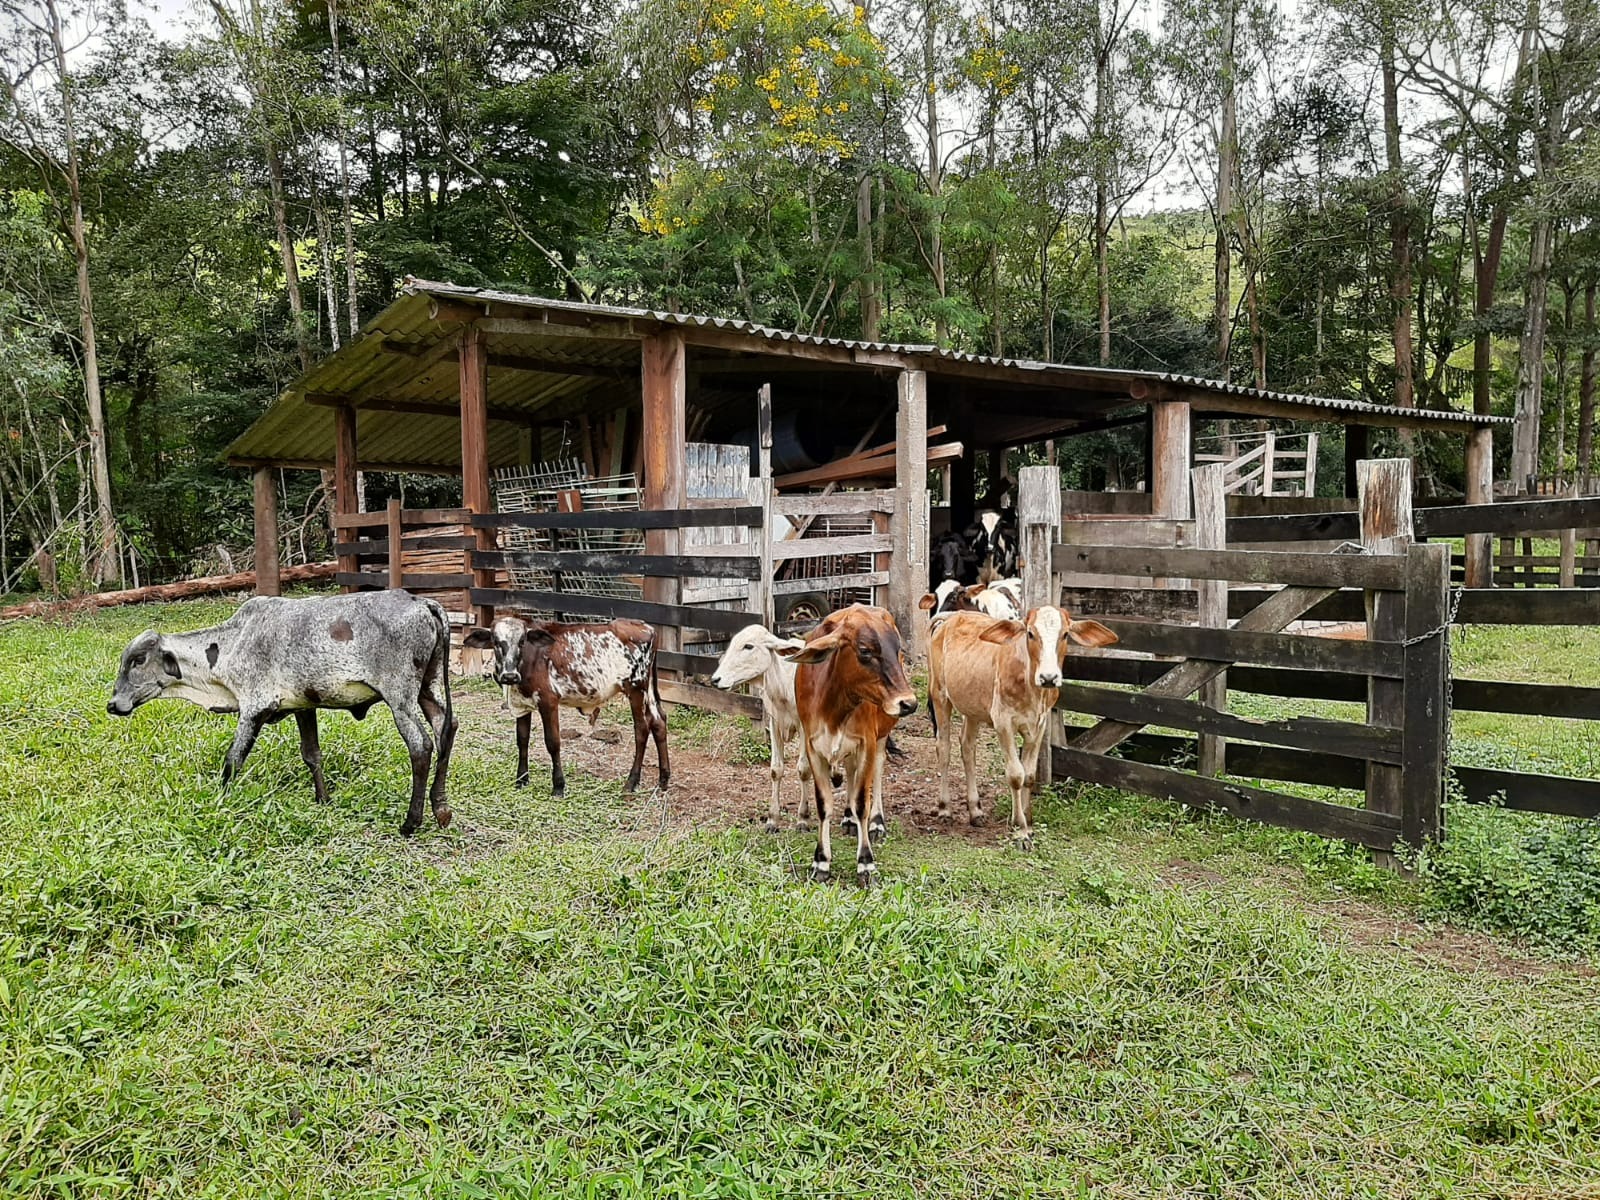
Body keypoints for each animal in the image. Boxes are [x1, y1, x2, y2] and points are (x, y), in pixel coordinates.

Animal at [107, 588, 460, 838]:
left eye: (137, 660)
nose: (113, 704)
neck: (232, 642)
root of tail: (422, 601)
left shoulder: (254, 708)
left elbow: (232, 761)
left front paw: (220, 802)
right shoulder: (304, 707)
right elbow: (312, 755)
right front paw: (323, 800)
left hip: (399, 698)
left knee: (421, 746)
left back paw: (411, 822)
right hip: (429, 688)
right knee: (448, 728)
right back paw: (441, 809)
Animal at [464, 620, 668, 800]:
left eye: (522, 641)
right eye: (496, 641)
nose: (509, 676)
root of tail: (648, 627)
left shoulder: (549, 702)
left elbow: (553, 742)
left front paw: (558, 786)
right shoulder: (521, 705)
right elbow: (522, 740)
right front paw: (521, 780)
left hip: (636, 689)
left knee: (642, 729)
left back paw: (631, 783)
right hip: (648, 689)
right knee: (658, 722)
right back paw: (663, 780)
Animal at [780, 604, 921, 889]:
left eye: (897, 650)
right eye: (865, 651)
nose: (908, 703)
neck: (834, 705)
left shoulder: (867, 743)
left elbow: (861, 802)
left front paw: (865, 863)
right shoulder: (814, 747)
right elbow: (824, 803)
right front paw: (821, 862)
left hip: (880, 735)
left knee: (875, 773)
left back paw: (876, 823)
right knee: (851, 771)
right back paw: (847, 818)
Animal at [934, 604, 1120, 851]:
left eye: (1065, 634)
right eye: (1030, 633)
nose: (1049, 677)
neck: (1032, 688)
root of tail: (952, 617)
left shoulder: (1039, 725)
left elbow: (1030, 775)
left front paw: (1028, 823)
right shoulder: (1003, 723)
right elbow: (1016, 775)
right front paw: (1020, 830)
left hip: (972, 708)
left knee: (967, 747)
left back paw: (975, 810)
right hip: (939, 695)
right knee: (944, 748)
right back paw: (944, 808)